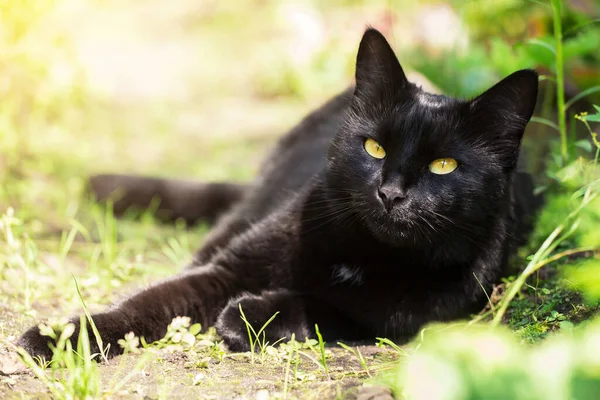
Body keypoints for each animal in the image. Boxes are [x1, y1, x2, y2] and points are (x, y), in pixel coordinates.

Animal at [17, 28, 540, 360]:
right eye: (374, 147)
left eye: (443, 165)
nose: (390, 192)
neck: (366, 252)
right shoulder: (227, 270)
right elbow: (150, 302)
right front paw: (58, 340)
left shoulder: (409, 318)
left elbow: (326, 308)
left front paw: (244, 315)